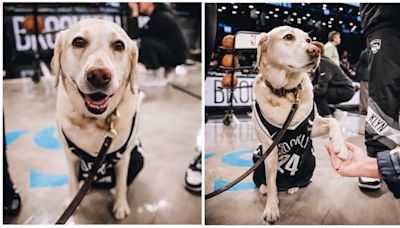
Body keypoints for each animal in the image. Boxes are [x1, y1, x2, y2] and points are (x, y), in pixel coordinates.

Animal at [52, 19, 144, 219]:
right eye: (78, 42)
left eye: (119, 45)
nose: (99, 76)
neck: (93, 120)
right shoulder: (70, 155)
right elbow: (72, 181)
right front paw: (71, 200)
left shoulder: (124, 158)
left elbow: (121, 183)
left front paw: (120, 205)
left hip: (138, 159)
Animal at [253, 25, 350, 224]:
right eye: (288, 37)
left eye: (308, 40)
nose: (315, 50)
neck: (286, 92)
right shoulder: (269, 148)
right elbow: (272, 181)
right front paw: (272, 207)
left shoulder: (311, 126)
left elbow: (333, 120)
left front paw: (340, 147)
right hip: (258, 156)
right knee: (266, 181)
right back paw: (265, 187)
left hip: (310, 164)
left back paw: (293, 186)